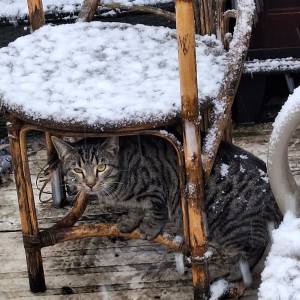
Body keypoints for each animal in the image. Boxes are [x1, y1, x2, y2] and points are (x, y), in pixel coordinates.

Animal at [51, 136, 282, 284]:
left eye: (101, 167)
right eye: (77, 169)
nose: (90, 184)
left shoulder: (157, 188)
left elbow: (156, 210)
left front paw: (149, 228)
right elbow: (135, 210)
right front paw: (129, 222)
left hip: (230, 226)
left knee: (256, 247)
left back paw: (236, 275)